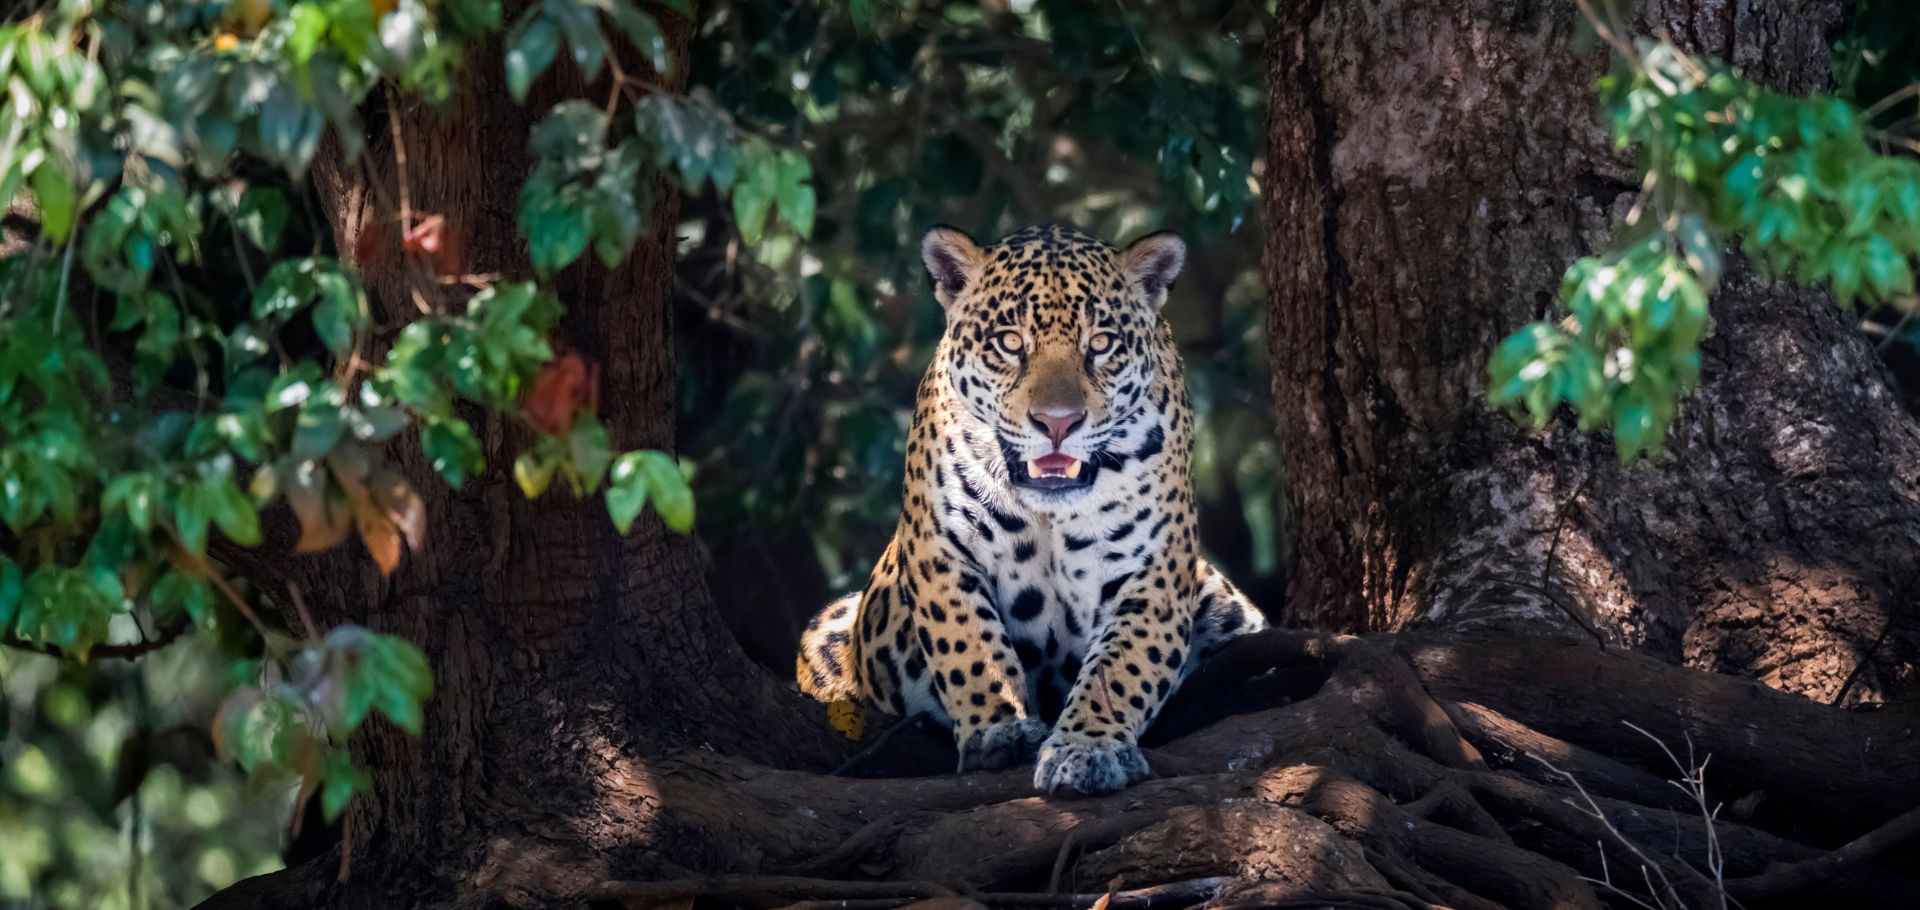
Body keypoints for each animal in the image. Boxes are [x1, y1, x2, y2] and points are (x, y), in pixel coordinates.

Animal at [796, 223, 1267, 797]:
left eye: (1100, 344)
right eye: (1010, 343)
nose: (1057, 422)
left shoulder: (1153, 571)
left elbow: (1121, 665)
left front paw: (1088, 748)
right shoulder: (938, 548)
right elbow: (968, 644)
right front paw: (1001, 729)